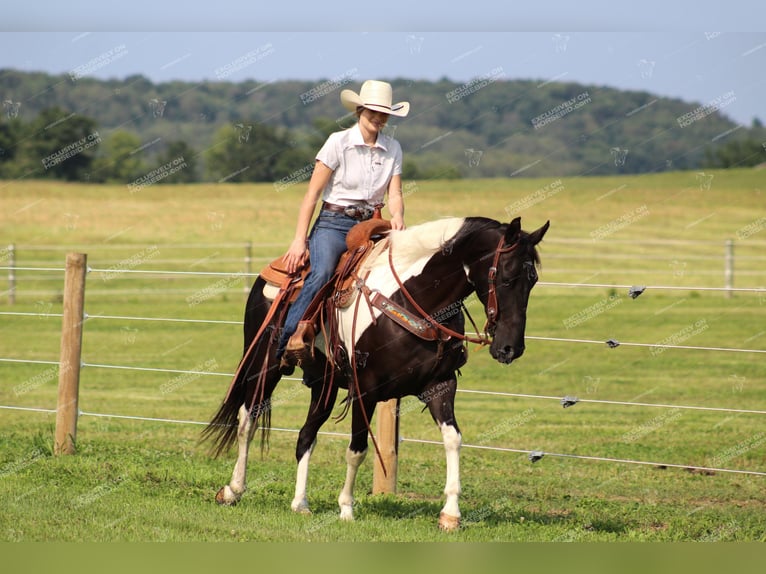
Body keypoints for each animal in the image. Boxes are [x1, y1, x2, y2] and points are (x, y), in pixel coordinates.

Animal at [204, 216, 552, 532]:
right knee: (248, 420)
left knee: (305, 436)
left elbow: (453, 439)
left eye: (533, 280)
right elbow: (357, 449)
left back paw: (300, 503)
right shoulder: (365, 390)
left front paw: (451, 514)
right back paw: (233, 490)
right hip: (263, 367)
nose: (510, 348)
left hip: (323, 385)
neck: (414, 298)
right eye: (506, 277)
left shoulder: (441, 385)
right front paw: (346, 508)